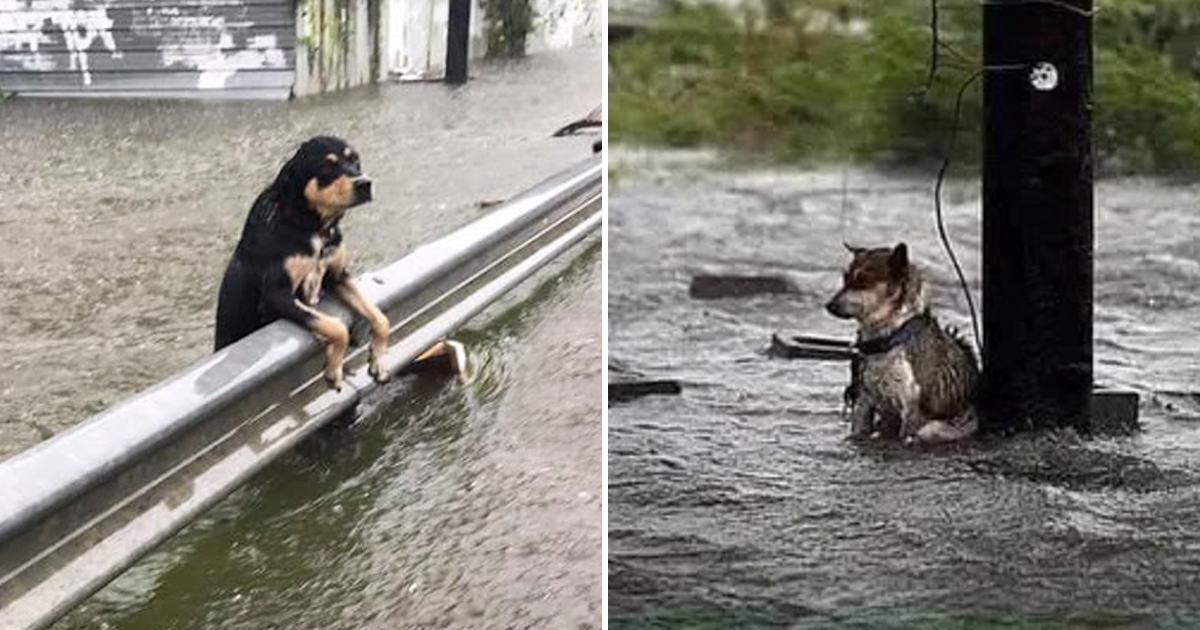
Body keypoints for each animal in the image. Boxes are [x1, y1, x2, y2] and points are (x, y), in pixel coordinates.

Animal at [211, 136, 388, 388]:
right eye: (327, 167)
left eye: (355, 161)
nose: (364, 183)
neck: (311, 225)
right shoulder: (275, 296)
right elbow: (337, 327)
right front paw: (333, 369)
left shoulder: (337, 276)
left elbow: (380, 317)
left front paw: (379, 360)